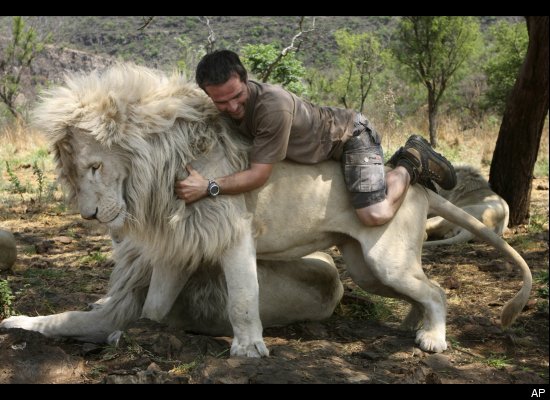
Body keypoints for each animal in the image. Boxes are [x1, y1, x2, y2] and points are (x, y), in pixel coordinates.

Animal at [1, 64, 536, 358]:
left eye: (95, 166)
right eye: (73, 173)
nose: (90, 217)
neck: (162, 166)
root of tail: (419, 191)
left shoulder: (231, 230)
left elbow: (243, 296)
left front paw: (248, 348)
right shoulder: (182, 240)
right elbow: (151, 306)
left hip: (384, 252)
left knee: (438, 291)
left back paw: (433, 339)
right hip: (367, 267)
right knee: (421, 290)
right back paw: (414, 323)